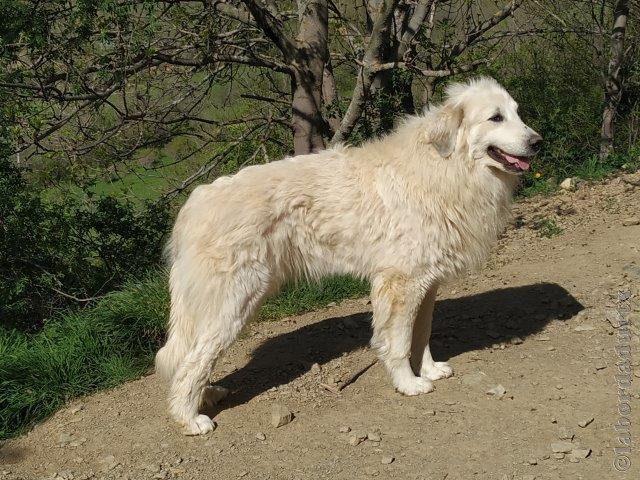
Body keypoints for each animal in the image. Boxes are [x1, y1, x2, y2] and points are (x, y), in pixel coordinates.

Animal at [154, 76, 540, 436]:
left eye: (517, 113)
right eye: (495, 117)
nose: (537, 141)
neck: (444, 167)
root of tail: (194, 204)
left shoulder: (426, 283)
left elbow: (422, 334)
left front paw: (429, 369)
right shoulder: (401, 284)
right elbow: (399, 342)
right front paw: (408, 384)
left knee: (189, 357)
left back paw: (206, 396)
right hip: (234, 302)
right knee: (192, 363)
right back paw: (190, 418)